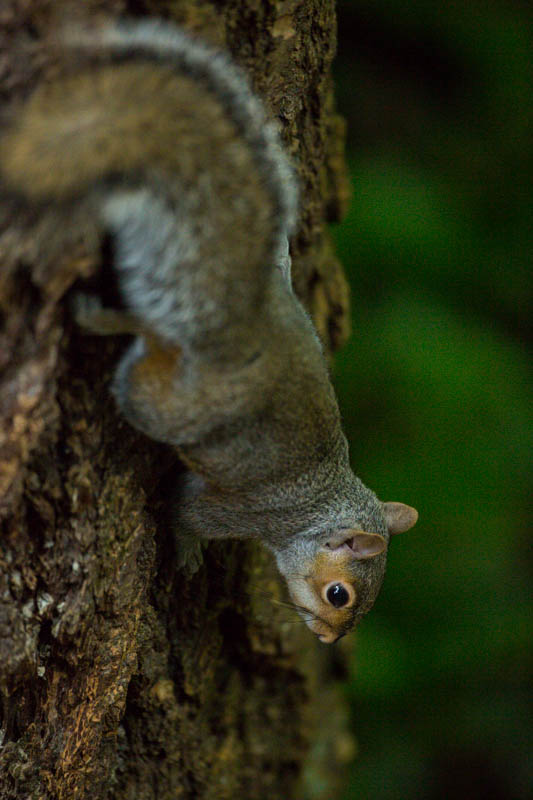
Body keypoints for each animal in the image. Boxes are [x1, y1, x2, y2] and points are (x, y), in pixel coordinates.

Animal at [0, 18, 418, 644]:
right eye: (338, 594)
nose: (326, 639)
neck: (320, 504)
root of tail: (238, 320)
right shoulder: (245, 512)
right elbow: (186, 515)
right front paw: (189, 551)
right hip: (165, 404)